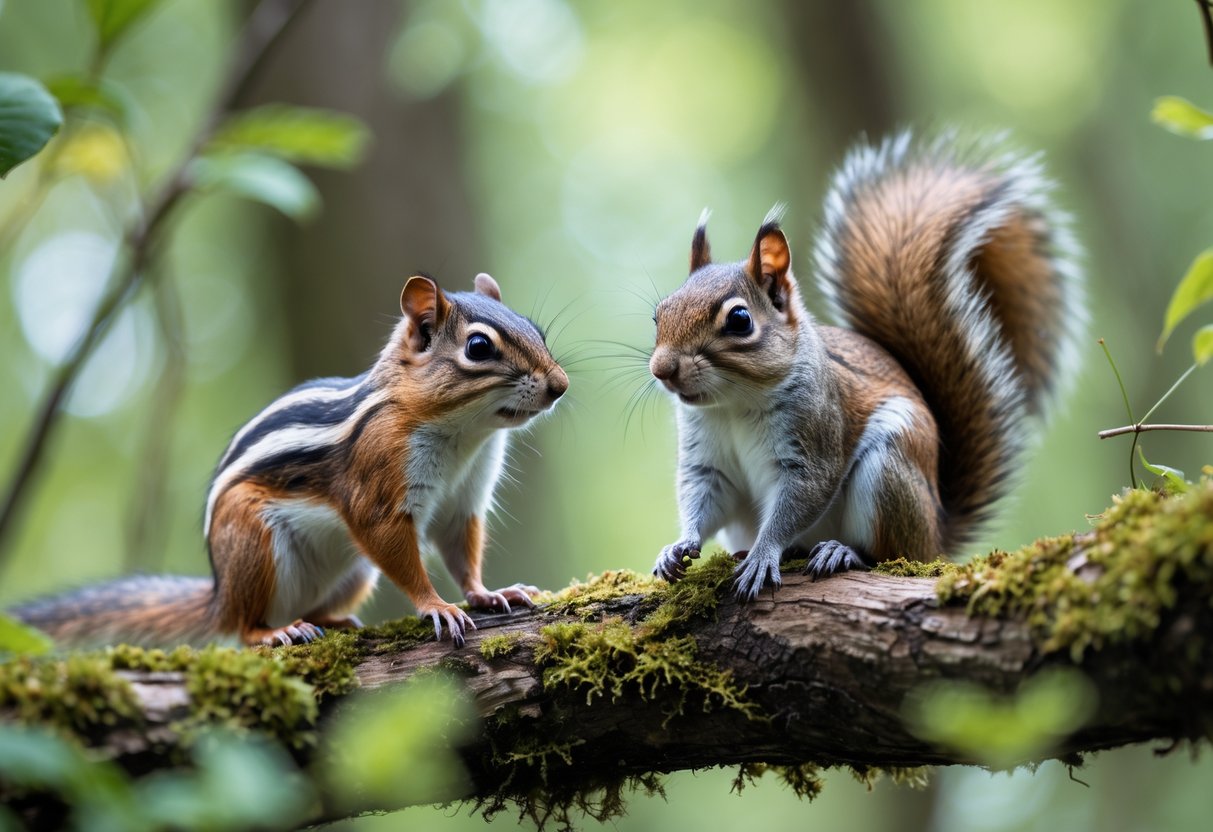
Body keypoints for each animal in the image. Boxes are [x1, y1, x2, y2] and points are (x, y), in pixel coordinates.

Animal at [11, 273, 568, 647]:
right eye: (478, 347)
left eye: (537, 330)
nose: (560, 386)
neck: (466, 436)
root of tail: (219, 595)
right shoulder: (379, 486)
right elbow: (398, 550)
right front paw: (437, 605)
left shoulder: (462, 500)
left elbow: (461, 551)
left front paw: (488, 593)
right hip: (255, 542)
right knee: (242, 627)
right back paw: (276, 632)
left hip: (353, 572)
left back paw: (331, 621)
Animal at [649, 132, 1083, 600]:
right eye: (659, 314)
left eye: (740, 320)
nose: (661, 370)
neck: (733, 404)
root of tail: (935, 533)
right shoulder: (706, 458)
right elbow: (703, 498)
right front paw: (678, 546)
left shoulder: (815, 437)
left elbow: (797, 503)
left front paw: (765, 554)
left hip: (889, 470)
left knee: (888, 553)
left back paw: (841, 552)